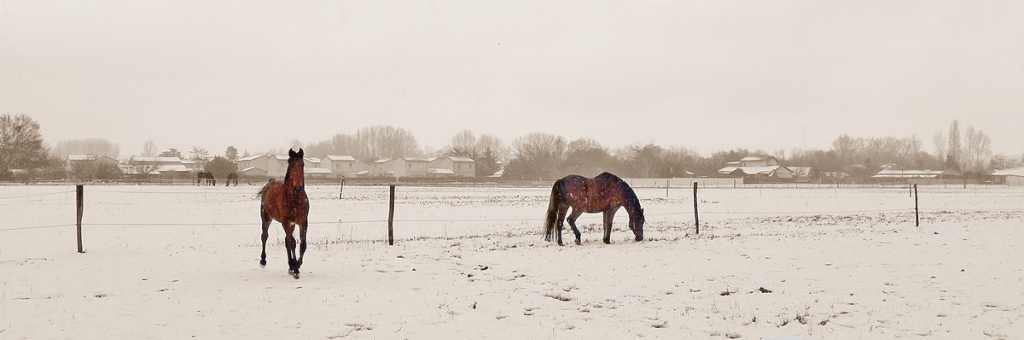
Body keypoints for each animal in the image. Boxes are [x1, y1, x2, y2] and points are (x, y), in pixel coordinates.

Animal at [256, 148, 307, 278]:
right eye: (291, 165)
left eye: (302, 165)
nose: (298, 188)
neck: (295, 199)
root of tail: (269, 182)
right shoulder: (286, 222)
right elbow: (293, 243)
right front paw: (295, 269)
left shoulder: (303, 222)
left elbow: (303, 245)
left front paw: (296, 265)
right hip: (266, 218)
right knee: (264, 236)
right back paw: (263, 261)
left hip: (291, 225)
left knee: (286, 241)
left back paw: (290, 265)